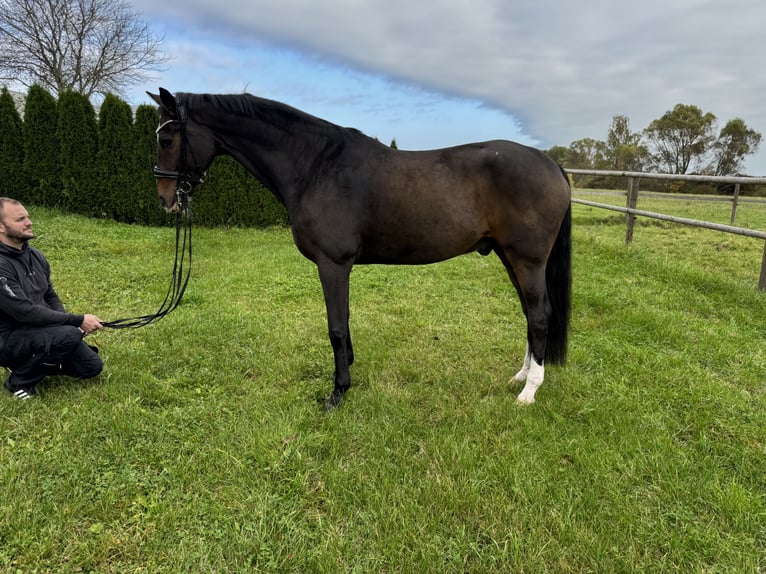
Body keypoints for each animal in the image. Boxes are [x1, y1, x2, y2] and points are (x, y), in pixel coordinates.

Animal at [148, 88, 572, 410]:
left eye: (167, 140)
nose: (166, 199)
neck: (315, 166)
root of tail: (550, 163)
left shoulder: (332, 264)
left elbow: (336, 326)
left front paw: (338, 392)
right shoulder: (340, 266)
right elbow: (345, 321)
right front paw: (347, 372)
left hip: (527, 260)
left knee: (539, 316)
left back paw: (528, 392)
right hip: (509, 257)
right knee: (529, 315)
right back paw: (520, 375)